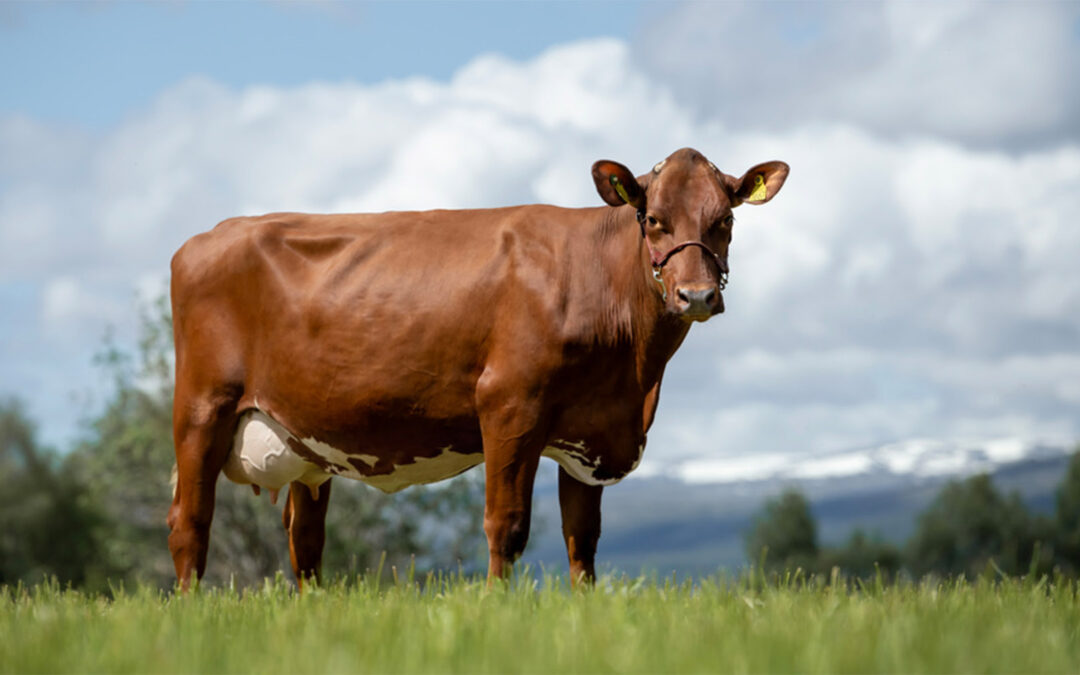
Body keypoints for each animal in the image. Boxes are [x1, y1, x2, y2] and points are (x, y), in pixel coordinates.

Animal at [168, 145, 790, 583]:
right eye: (654, 218)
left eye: (725, 220)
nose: (697, 296)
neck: (635, 381)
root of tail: (209, 236)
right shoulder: (510, 405)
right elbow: (505, 526)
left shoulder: (589, 434)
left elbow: (582, 540)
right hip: (201, 410)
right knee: (189, 524)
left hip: (306, 443)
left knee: (304, 544)